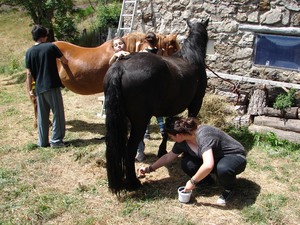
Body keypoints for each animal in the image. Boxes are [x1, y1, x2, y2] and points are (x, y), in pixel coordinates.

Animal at [103, 19, 209, 194]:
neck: (191, 56)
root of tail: (120, 67)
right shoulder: (196, 103)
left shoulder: (171, 107)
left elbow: (167, 127)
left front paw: (162, 151)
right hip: (140, 121)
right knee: (130, 148)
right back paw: (133, 183)